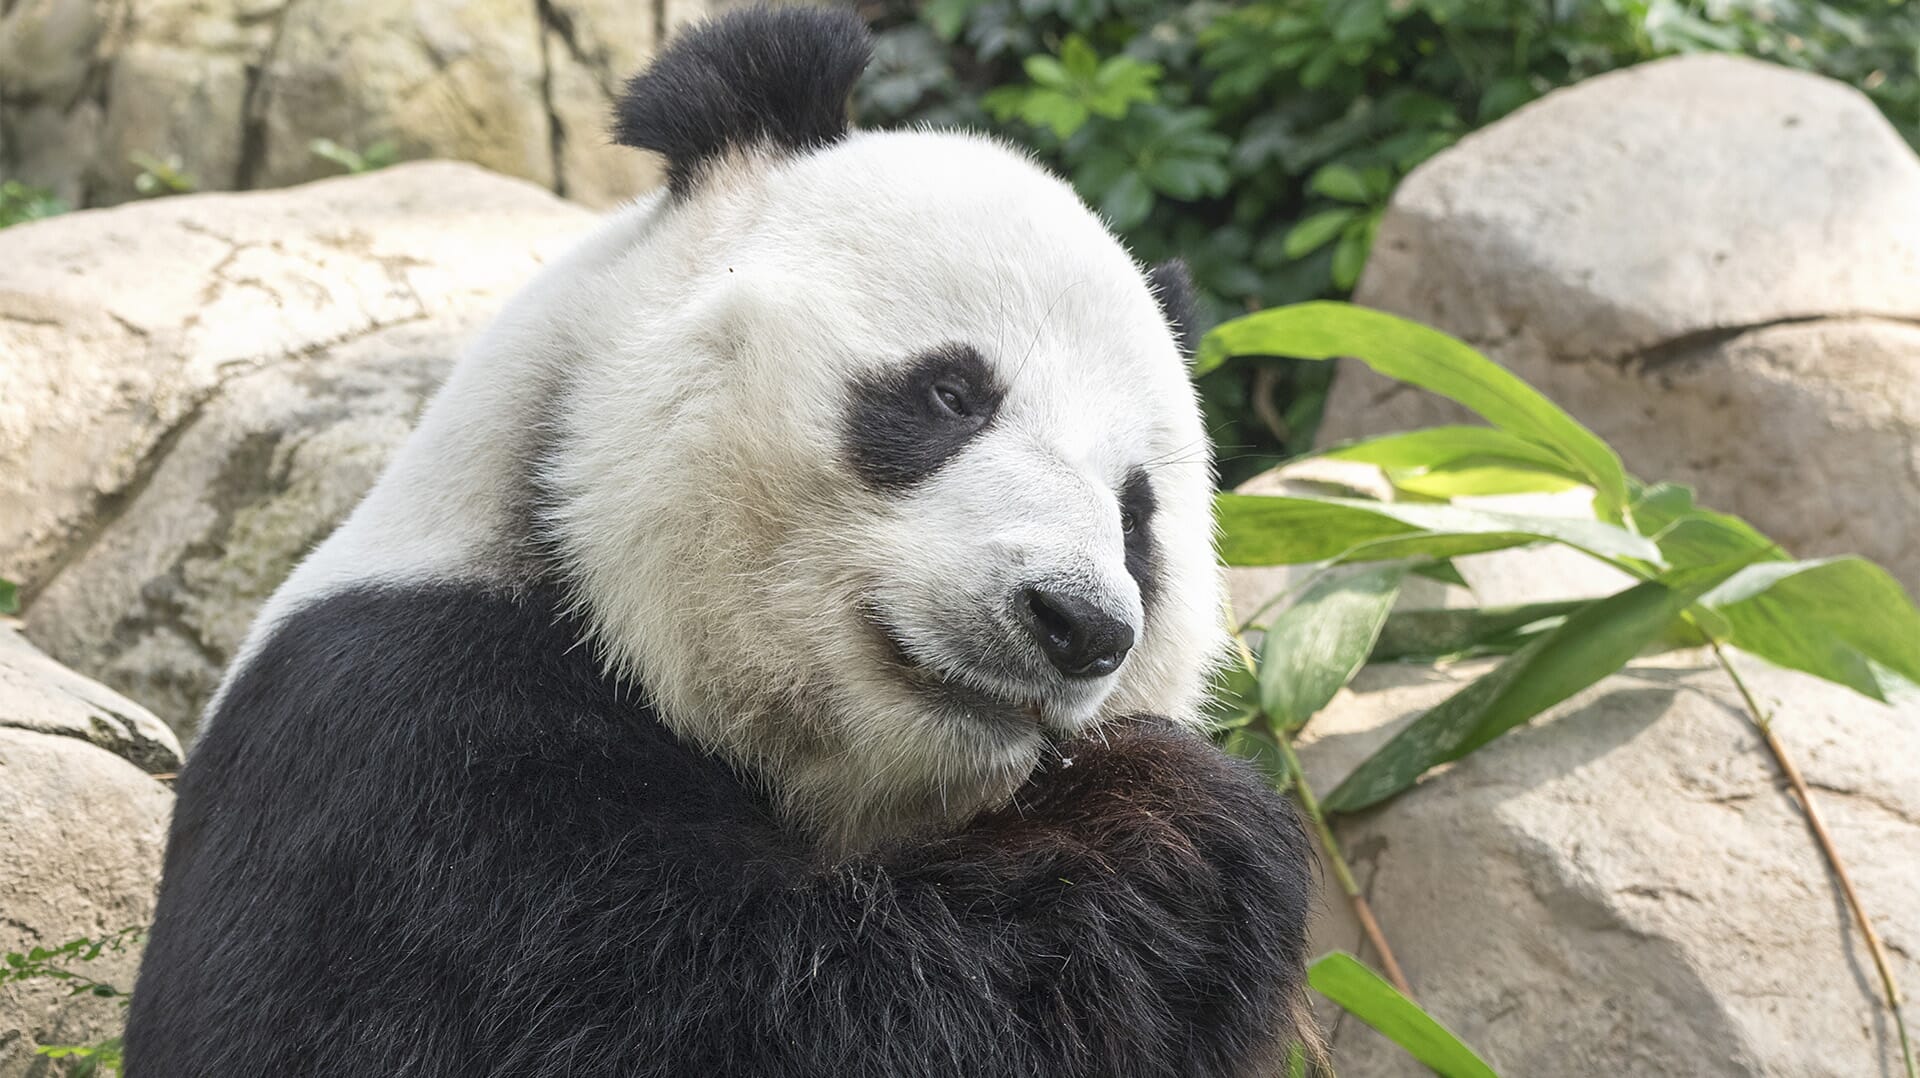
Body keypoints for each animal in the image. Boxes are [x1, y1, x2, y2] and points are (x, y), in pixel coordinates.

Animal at [124, 8, 1316, 1076]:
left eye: (1137, 512)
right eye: (950, 394)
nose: (1076, 621)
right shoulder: (394, 753)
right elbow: (723, 1013)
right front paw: (1173, 817)